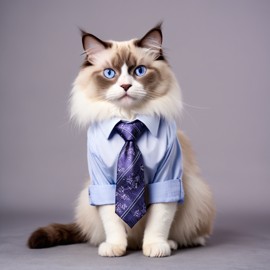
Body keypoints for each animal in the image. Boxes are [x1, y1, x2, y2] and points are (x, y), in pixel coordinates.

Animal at [27, 23, 215, 258]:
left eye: (139, 71)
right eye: (110, 73)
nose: (125, 86)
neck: (129, 122)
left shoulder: (166, 178)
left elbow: (159, 220)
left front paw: (155, 247)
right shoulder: (105, 182)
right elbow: (113, 220)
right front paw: (115, 248)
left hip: (197, 193)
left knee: (188, 234)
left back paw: (170, 243)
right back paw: (128, 244)